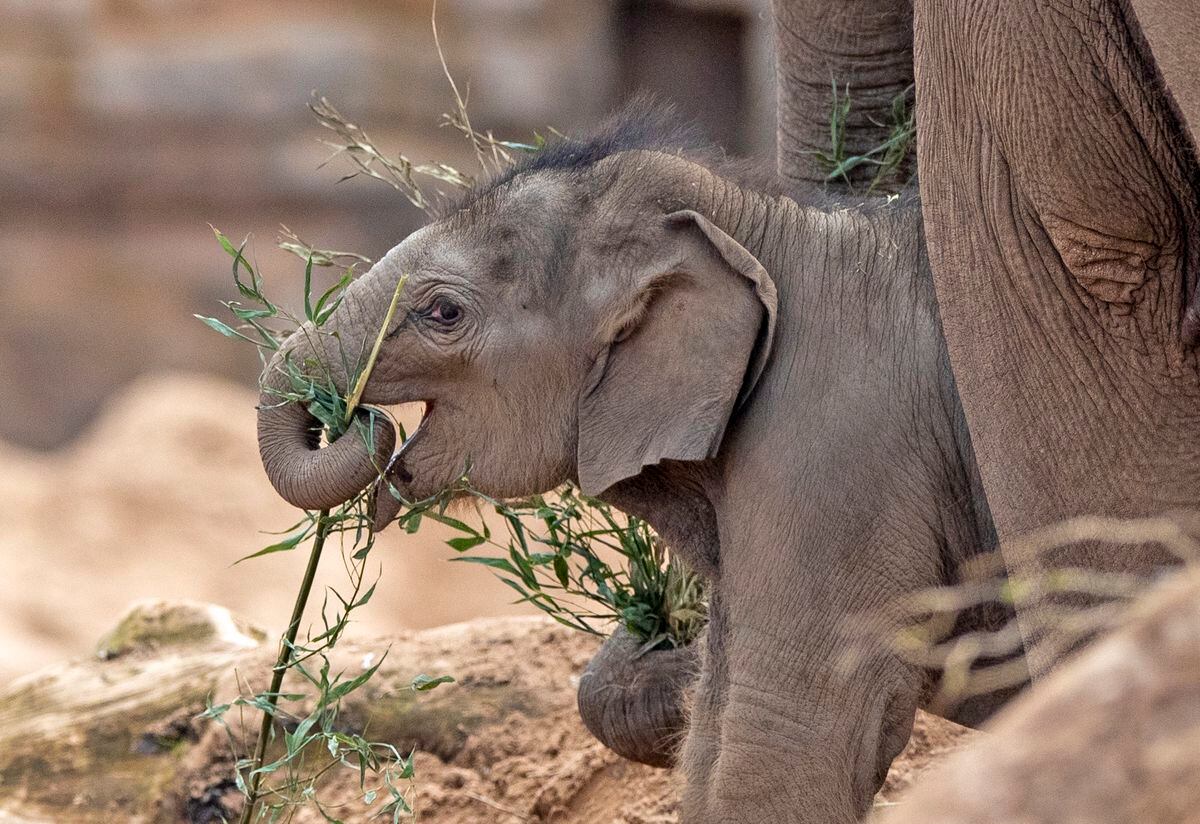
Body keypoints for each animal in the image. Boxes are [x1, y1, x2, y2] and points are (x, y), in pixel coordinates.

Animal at [258, 106, 1008, 820]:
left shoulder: (838, 457)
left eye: (443, 311)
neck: (766, 226)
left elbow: (788, 731)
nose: (351, 417)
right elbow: (713, 723)